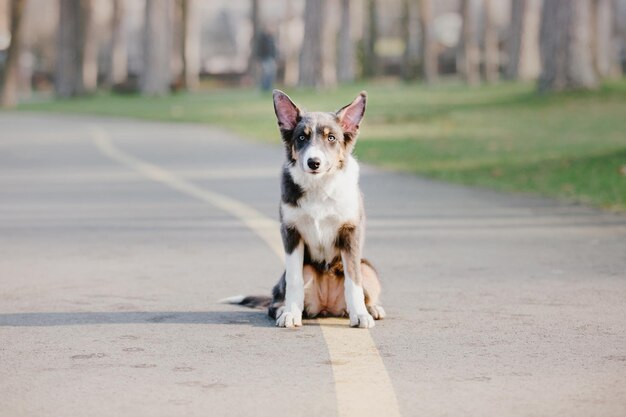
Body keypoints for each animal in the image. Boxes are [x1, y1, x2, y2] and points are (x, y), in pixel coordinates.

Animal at [222, 91, 382, 328]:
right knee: (276, 300)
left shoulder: (350, 233)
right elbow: (295, 280)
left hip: (368, 267)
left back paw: (372, 309)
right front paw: (290, 314)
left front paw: (361, 315)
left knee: (363, 283)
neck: (319, 188)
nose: (313, 162)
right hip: (299, 270)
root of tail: (327, 307)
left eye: (331, 138)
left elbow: (354, 282)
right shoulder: (291, 232)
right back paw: (283, 310)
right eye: (301, 138)